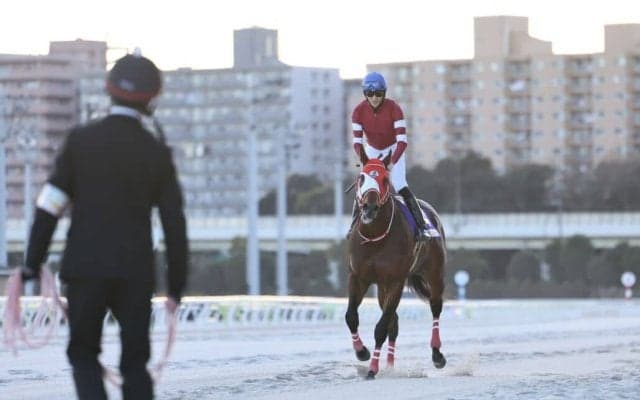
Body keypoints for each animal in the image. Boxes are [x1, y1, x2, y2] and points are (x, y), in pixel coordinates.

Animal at [345, 157, 447, 379]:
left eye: (385, 179)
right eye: (361, 178)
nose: (369, 208)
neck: (375, 238)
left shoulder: (396, 281)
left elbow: (381, 327)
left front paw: (372, 368)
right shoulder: (358, 277)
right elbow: (351, 317)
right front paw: (362, 352)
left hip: (435, 273)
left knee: (435, 307)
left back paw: (437, 355)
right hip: (382, 288)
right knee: (394, 321)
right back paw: (390, 365)